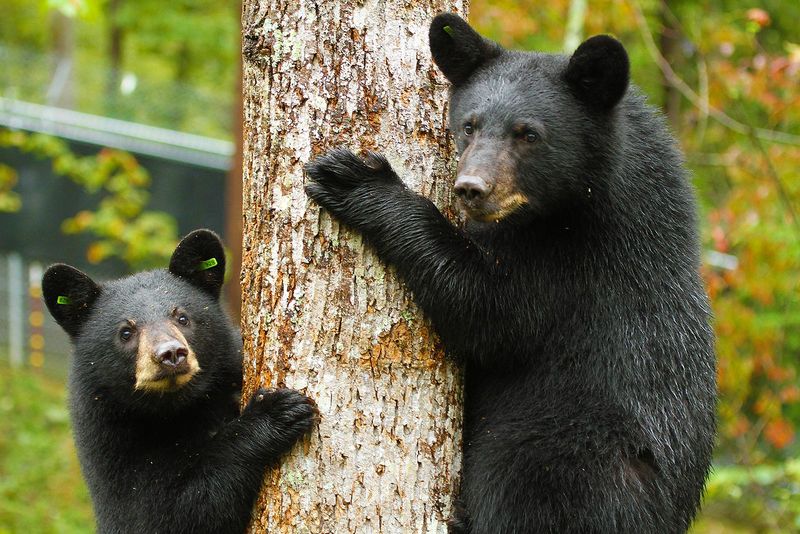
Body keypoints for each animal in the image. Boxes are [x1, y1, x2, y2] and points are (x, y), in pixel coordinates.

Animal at [41, 230, 316, 534]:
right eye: (126, 332)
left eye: (182, 317)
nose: (171, 354)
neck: (178, 407)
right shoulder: (114, 451)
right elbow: (176, 512)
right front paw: (277, 411)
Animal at [306, 11, 720, 534]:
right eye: (469, 125)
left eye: (529, 133)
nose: (470, 188)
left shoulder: (579, 257)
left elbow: (492, 312)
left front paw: (356, 181)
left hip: (569, 450)